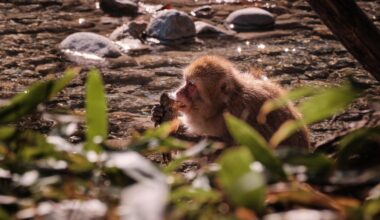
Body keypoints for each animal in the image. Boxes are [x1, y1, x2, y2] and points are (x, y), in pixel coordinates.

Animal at [153, 55, 310, 149]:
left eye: (191, 85)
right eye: (186, 82)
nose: (179, 91)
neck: (223, 107)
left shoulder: (243, 114)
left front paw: (178, 137)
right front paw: (159, 114)